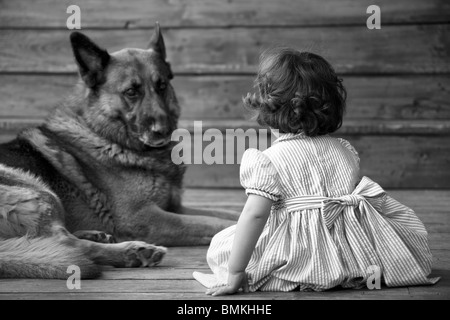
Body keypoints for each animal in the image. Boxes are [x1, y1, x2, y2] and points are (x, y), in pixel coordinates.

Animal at [0, 23, 237, 278]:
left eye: (162, 86)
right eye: (131, 92)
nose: (162, 131)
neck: (106, 136)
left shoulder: (175, 207)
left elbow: (228, 214)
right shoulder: (145, 218)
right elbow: (214, 223)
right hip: (40, 192)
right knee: (64, 244)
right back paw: (132, 252)